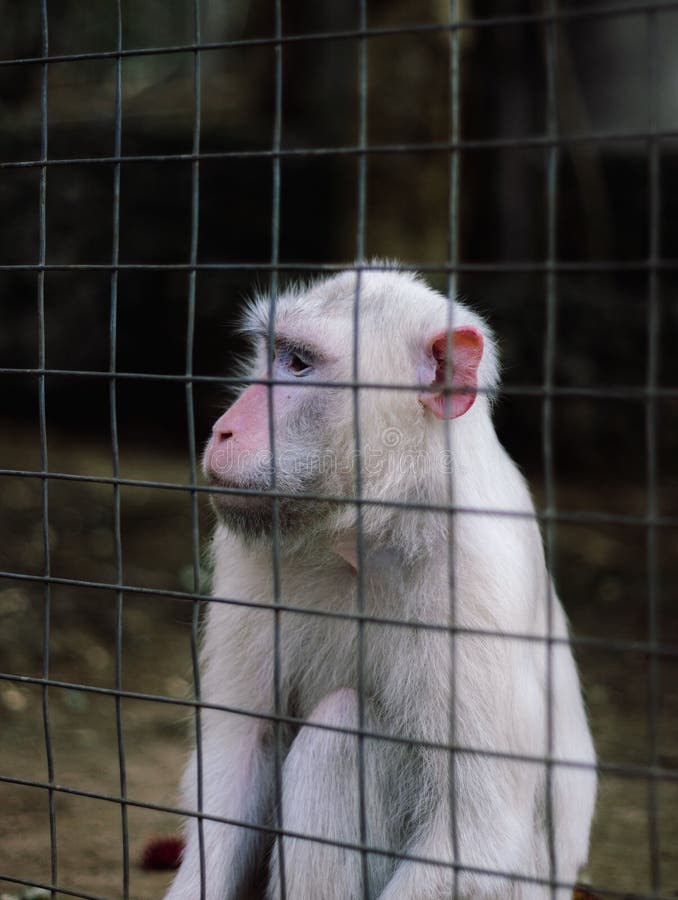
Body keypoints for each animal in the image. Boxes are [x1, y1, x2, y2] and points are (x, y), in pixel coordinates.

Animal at [166, 268, 600, 900]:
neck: (373, 533)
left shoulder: (474, 587)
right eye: (271, 353)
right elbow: (237, 760)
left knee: (341, 732)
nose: (223, 429)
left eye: (299, 364)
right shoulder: (250, 549)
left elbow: (476, 840)